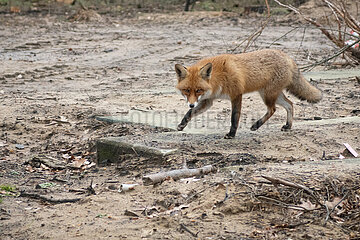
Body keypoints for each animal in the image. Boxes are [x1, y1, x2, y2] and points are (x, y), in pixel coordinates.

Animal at [174, 48, 320, 139]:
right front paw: (182, 124)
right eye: (187, 90)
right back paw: (288, 126)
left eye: (198, 90)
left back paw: (256, 125)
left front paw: (231, 134)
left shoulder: (236, 94)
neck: (218, 77)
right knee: (290, 104)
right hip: (272, 94)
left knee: (272, 109)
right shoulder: (207, 101)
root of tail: (288, 57)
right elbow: (190, 114)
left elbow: (234, 118)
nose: (191, 104)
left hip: (267, 95)